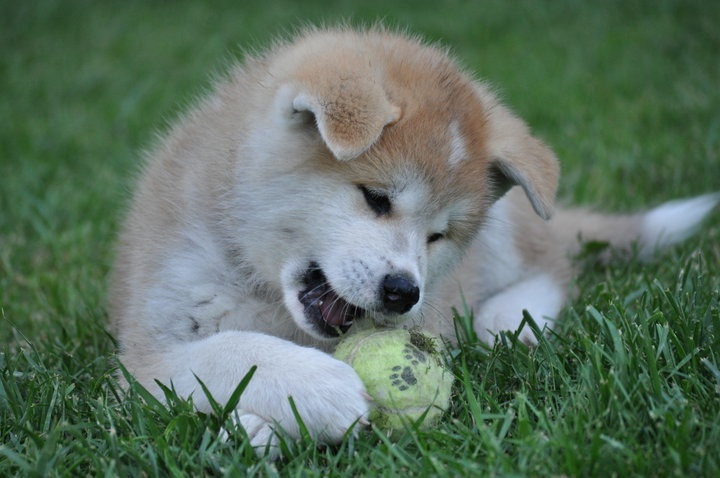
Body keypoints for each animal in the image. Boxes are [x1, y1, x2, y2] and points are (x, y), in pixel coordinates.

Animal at [109, 27, 716, 456]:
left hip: (509, 236)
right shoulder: (147, 351)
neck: (262, 288)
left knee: (553, 265)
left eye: (438, 235)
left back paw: (505, 322)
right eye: (376, 198)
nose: (404, 293)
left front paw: (286, 408)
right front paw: (306, 391)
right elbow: (229, 352)